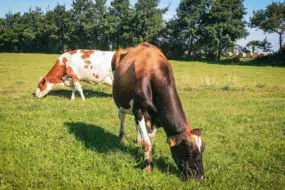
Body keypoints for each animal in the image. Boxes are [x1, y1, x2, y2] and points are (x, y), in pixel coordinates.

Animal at [111, 42, 204, 180]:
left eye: (202, 150)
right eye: (191, 153)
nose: (200, 177)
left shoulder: (156, 116)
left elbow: (151, 139)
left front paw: (148, 160)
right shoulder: (138, 110)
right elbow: (147, 143)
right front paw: (147, 168)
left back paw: (137, 139)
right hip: (122, 102)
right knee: (121, 116)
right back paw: (122, 138)